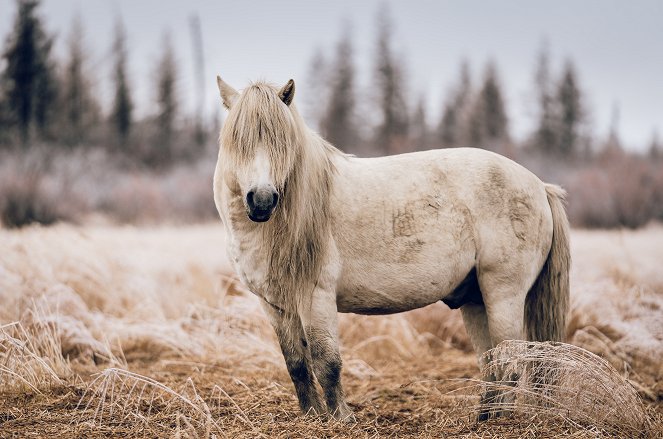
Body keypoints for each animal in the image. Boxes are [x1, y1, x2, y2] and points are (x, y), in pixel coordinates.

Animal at [213, 75, 572, 422]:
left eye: (282, 143)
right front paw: (312, 416)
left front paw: (341, 419)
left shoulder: (316, 297)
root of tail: (539, 186)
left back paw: (501, 420)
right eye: (238, 142)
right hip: (476, 299)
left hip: (503, 295)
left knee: (511, 361)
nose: (262, 200)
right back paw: (485, 416)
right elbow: (297, 364)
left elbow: (327, 361)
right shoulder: (275, 305)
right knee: (492, 362)